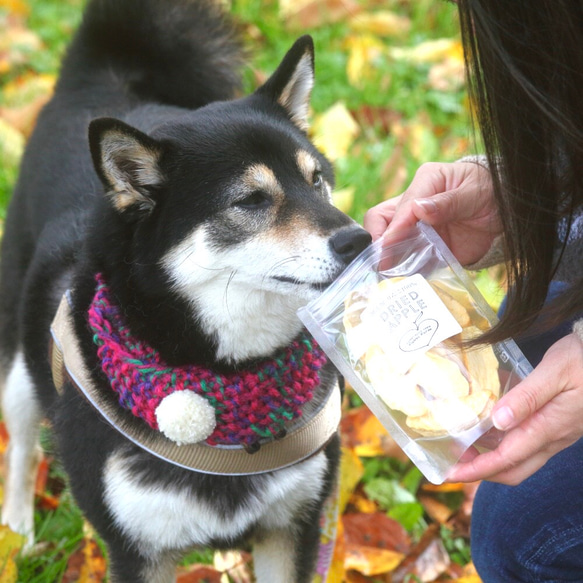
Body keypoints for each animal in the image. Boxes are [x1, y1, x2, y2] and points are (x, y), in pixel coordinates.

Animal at [0, 2, 372, 580]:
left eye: (316, 180)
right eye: (250, 200)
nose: (360, 239)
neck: (226, 376)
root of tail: (100, 76)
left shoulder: (294, 526)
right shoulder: (137, 551)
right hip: (19, 363)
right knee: (21, 449)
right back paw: (16, 534)